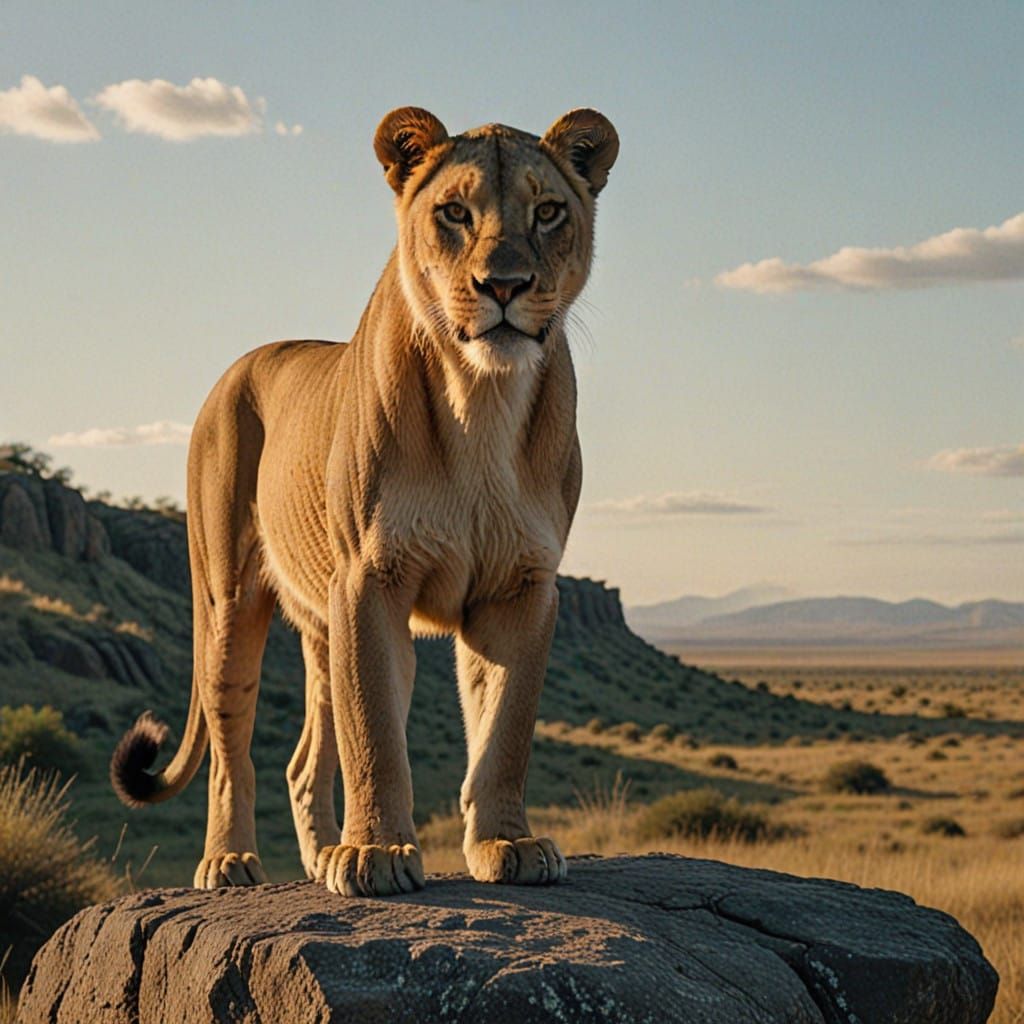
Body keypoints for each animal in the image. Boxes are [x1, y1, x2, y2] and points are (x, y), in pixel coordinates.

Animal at [110, 106, 618, 897]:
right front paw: (376, 853)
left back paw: (322, 856)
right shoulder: (370, 579)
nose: (504, 285)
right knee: (232, 748)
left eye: (547, 212)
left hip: (321, 627)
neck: (484, 396)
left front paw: (508, 842)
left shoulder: (520, 586)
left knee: (302, 759)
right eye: (454, 212)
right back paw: (230, 862)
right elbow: (374, 729)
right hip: (228, 602)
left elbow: (504, 727)